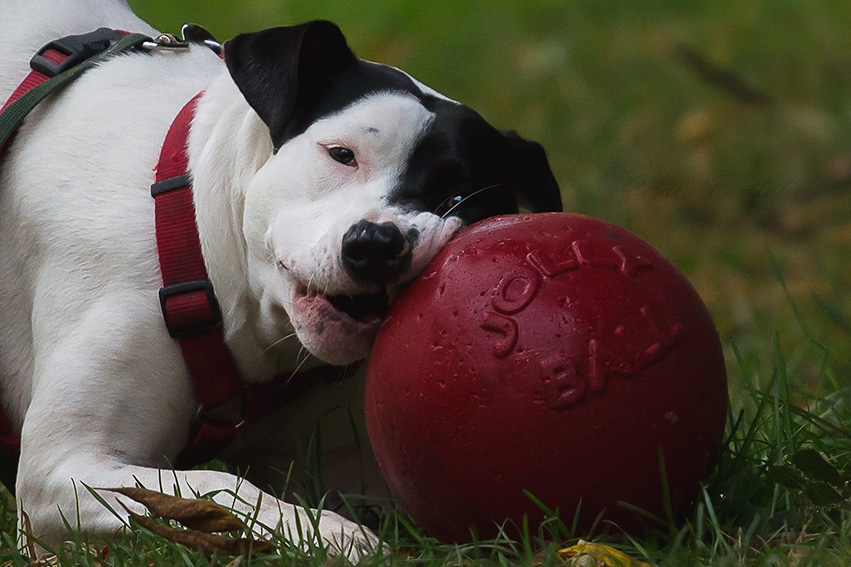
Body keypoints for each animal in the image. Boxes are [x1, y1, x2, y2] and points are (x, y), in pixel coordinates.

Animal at [0, 0, 564, 560]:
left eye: (459, 196)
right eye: (341, 153)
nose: (376, 243)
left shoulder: (349, 467)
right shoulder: (63, 472)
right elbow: (216, 489)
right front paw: (334, 534)